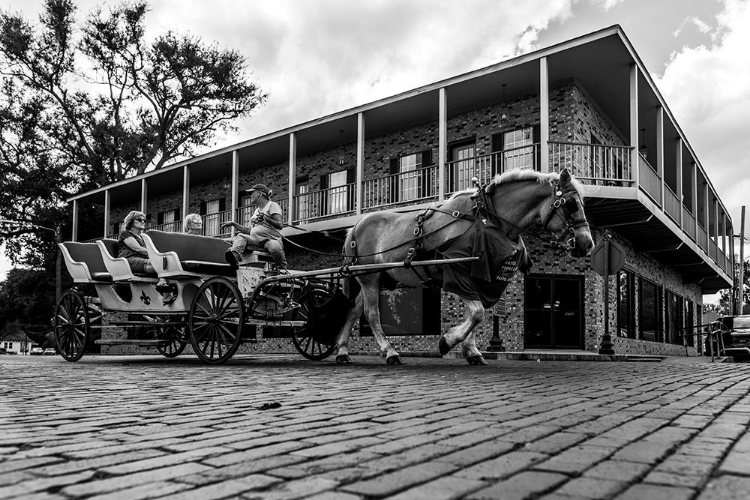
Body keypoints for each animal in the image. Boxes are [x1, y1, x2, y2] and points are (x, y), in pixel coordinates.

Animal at [338, 166, 596, 366]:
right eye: (571, 204)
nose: (587, 244)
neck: (485, 217)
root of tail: (355, 227)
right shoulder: (457, 272)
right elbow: (477, 312)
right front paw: (448, 341)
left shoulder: (479, 276)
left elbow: (476, 314)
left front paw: (472, 351)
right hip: (369, 277)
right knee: (371, 314)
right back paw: (389, 352)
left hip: (379, 278)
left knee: (353, 310)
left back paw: (342, 351)